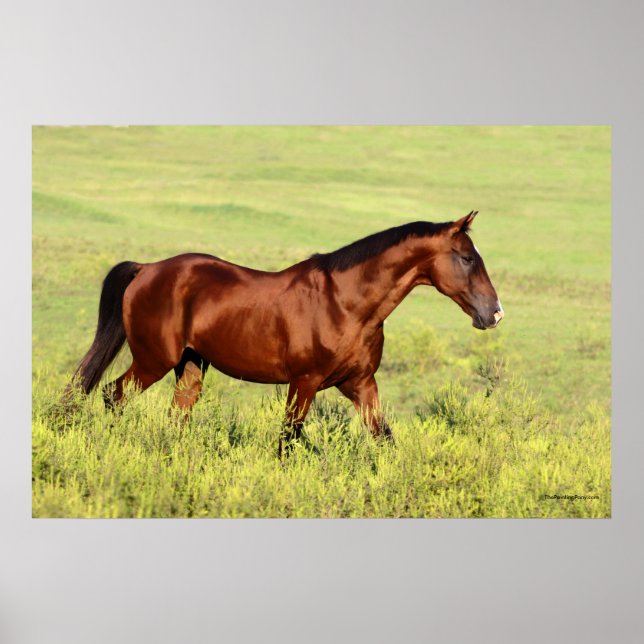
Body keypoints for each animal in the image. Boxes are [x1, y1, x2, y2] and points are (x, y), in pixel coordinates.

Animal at [69, 210, 503, 455]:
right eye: (467, 258)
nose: (494, 313)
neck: (346, 303)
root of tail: (146, 269)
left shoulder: (361, 384)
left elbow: (384, 439)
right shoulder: (304, 383)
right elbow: (287, 442)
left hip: (190, 367)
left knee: (175, 415)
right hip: (153, 360)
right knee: (112, 395)